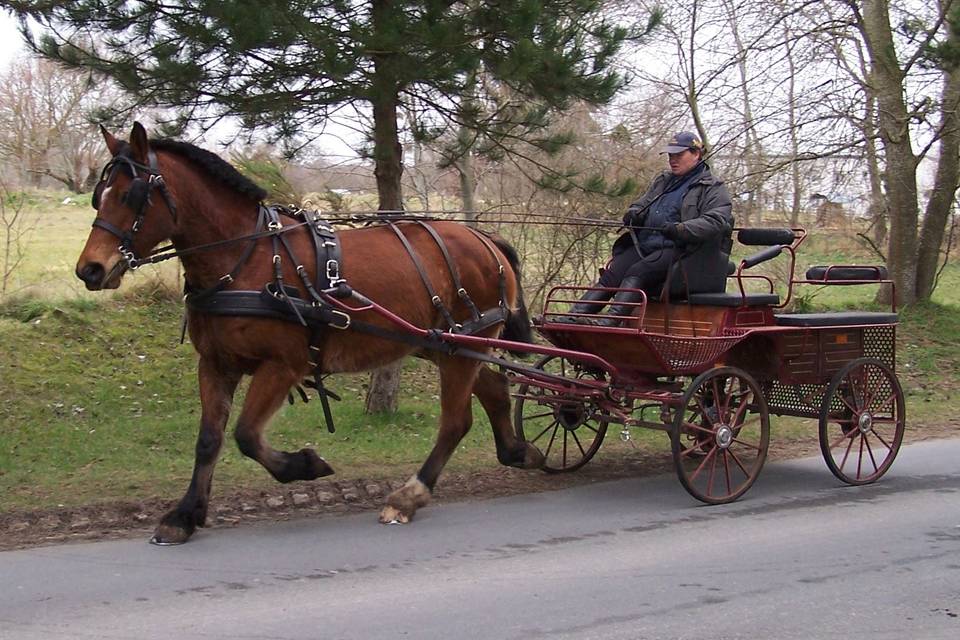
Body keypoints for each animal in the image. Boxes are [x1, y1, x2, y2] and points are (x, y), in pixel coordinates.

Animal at [75, 122, 540, 544]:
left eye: (132, 195)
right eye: (99, 196)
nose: (90, 270)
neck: (245, 258)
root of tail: (485, 238)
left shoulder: (283, 365)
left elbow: (246, 435)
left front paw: (304, 464)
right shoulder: (216, 364)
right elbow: (209, 440)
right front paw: (185, 514)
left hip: (459, 346)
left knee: (455, 421)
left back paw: (410, 495)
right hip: (447, 344)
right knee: (494, 390)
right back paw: (517, 450)